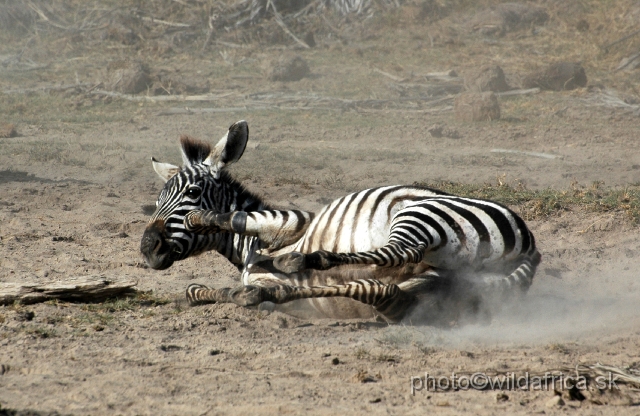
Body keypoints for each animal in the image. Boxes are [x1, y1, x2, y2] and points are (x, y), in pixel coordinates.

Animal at [140, 120, 540, 322]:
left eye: (193, 191)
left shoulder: (294, 219)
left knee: (400, 252)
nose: (147, 248)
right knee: (383, 289)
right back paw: (285, 282)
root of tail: (532, 248)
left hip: (420, 215)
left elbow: (239, 216)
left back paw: (302, 259)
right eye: (157, 201)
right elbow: (198, 291)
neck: (249, 255)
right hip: (438, 287)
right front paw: (244, 293)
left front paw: (201, 217)